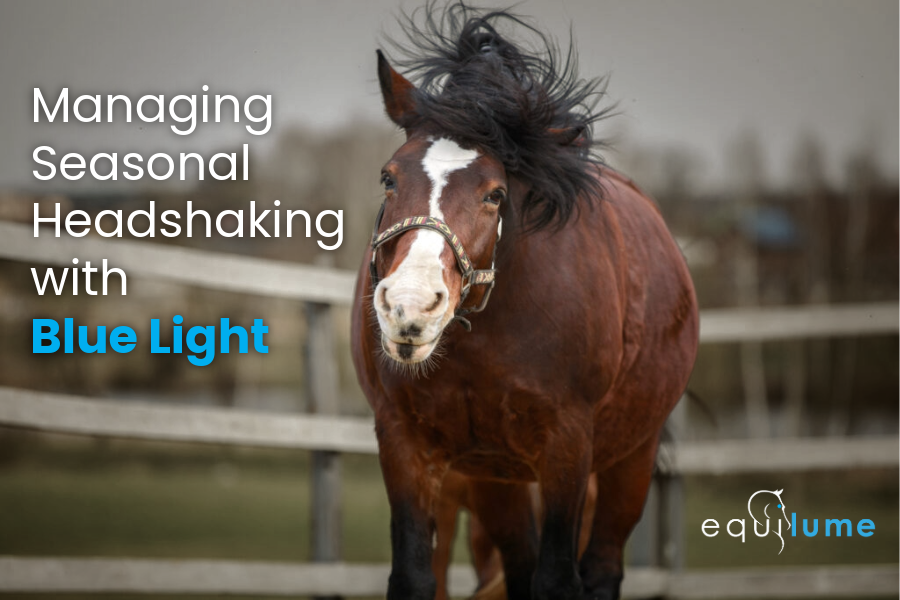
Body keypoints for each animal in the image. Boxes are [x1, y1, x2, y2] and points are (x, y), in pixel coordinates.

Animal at [350, 5, 699, 600]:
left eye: (495, 194)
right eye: (388, 178)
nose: (411, 308)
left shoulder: (567, 447)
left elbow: (557, 577)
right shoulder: (404, 442)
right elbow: (416, 575)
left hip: (631, 457)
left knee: (601, 567)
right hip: (497, 476)